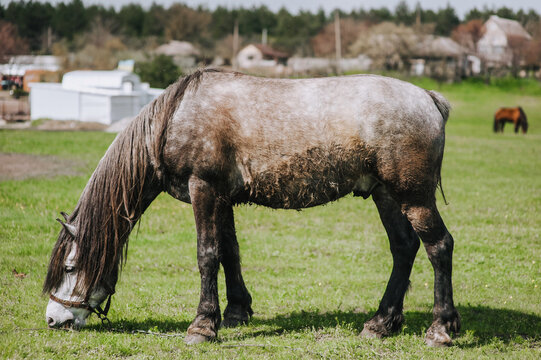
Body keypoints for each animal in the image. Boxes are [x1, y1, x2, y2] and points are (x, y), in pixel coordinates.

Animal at [43, 67, 460, 346]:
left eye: (71, 267)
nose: (53, 319)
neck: (175, 117)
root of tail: (429, 98)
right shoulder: (221, 198)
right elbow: (229, 252)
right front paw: (235, 313)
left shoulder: (203, 189)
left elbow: (207, 255)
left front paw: (202, 326)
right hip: (385, 194)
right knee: (403, 248)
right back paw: (381, 323)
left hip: (413, 197)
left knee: (439, 246)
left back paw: (441, 329)